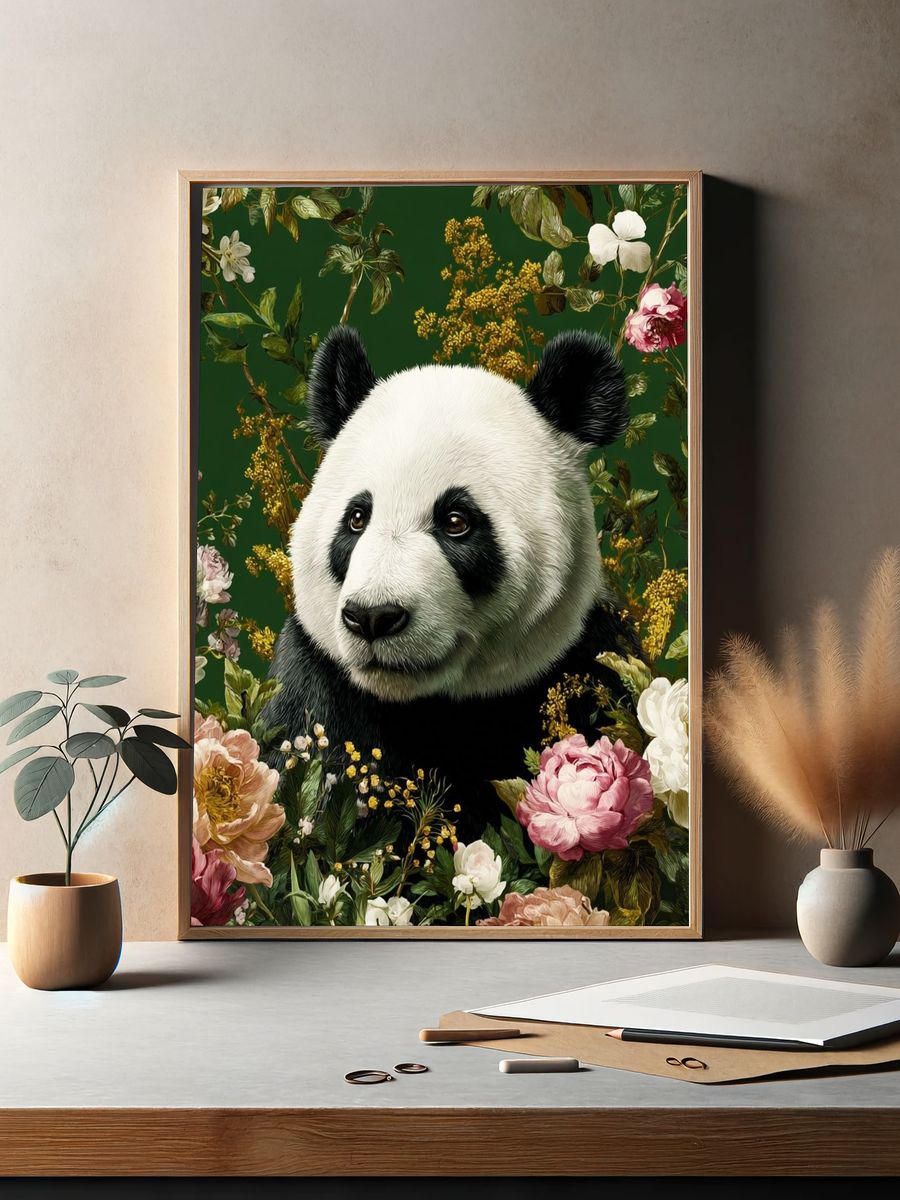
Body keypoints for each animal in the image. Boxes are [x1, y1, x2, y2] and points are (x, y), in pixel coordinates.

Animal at [265, 324, 638, 833]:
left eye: (456, 521)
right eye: (357, 518)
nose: (373, 617)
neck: (432, 708)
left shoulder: (588, 671)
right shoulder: (314, 690)